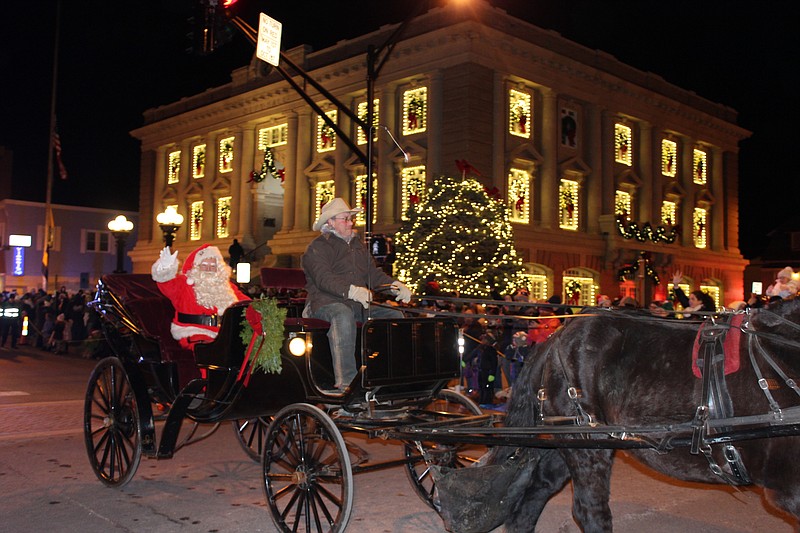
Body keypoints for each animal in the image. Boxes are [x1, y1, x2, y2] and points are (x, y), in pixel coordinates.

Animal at [434, 302, 800, 528]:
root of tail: (556, 336)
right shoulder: (789, 490)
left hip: (569, 439)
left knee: (531, 499)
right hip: (586, 442)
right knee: (590, 511)